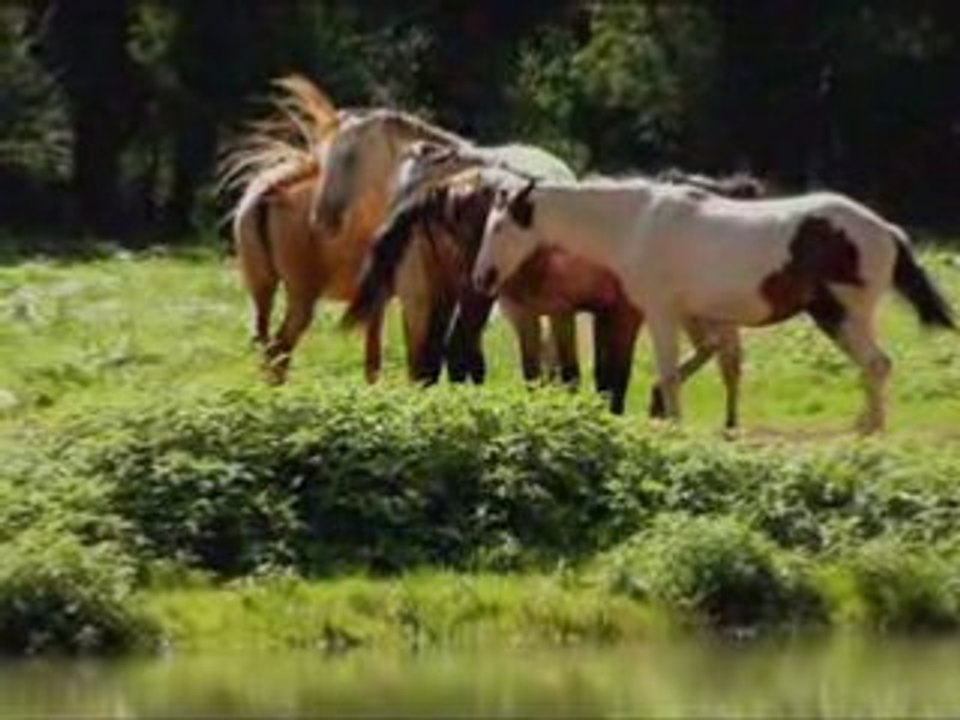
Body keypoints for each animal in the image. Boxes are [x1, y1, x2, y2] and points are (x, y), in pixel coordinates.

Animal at [343, 153, 753, 421]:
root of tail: (440, 190)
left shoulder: (577, 313)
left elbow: (586, 376)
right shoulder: (619, 315)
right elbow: (611, 379)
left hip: (435, 294)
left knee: (427, 361)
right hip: (473, 293)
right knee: (456, 351)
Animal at [473, 178, 955, 433]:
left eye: (499, 228)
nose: (482, 278)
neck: (637, 224)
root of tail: (886, 230)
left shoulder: (661, 313)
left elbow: (670, 372)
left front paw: (674, 422)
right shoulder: (702, 315)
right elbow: (715, 361)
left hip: (841, 315)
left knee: (876, 364)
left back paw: (867, 429)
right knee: (876, 366)